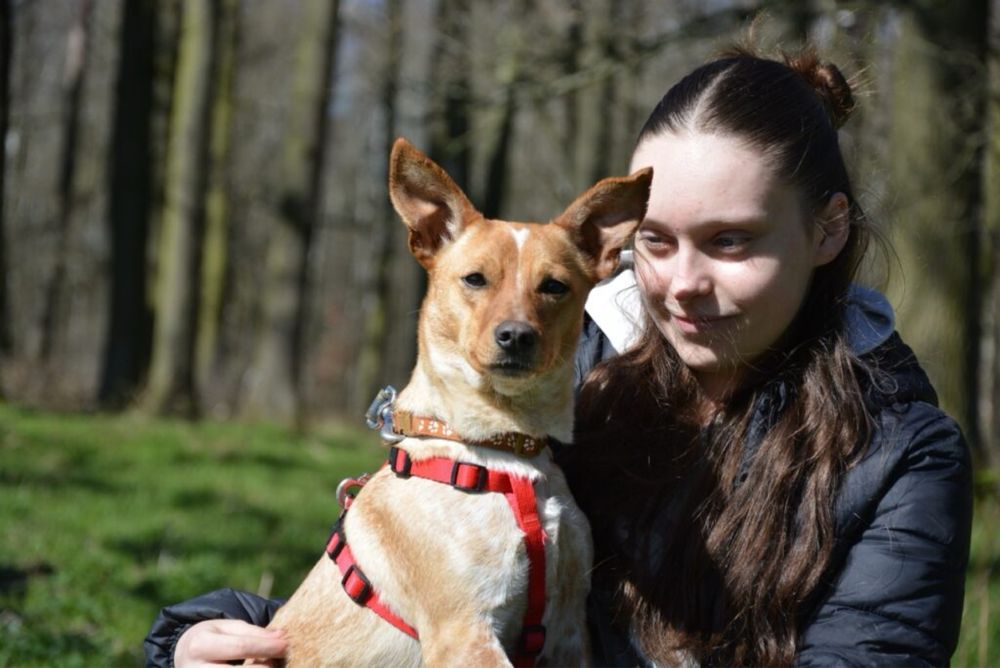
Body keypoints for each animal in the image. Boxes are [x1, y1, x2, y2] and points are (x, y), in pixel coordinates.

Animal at [262, 138, 652, 664]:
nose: (516, 336)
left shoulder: (569, 626)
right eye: (475, 279)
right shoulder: (464, 631)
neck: (506, 448)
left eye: (554, 287)